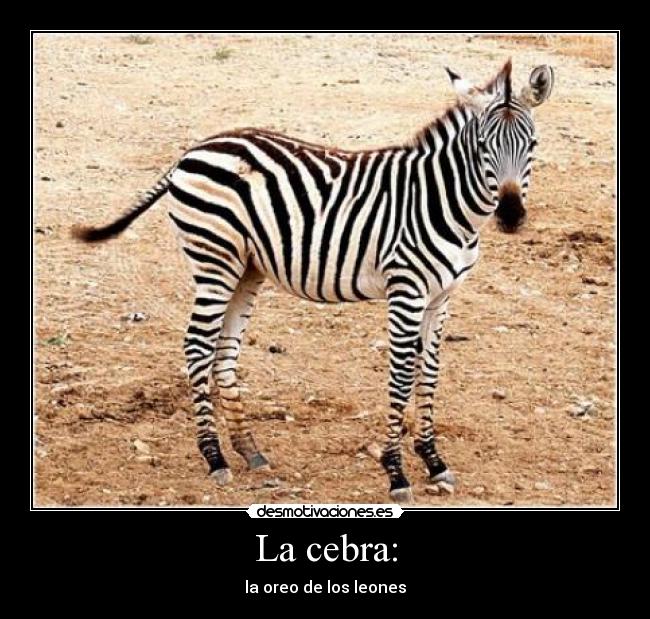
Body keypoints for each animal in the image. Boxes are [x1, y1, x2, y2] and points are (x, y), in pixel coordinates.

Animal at [72, 60, 553, 502]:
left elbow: (430, 372)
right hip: (215, 260)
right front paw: (396, 473)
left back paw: (248, 450)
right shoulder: (406, 291)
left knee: (224, 351)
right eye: (483, 147)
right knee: (196, 347)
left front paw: (434, 461)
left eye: (531, 144)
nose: (511, 216)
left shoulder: (442, 296)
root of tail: (193, 152)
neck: (444, 204)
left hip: (246, 269)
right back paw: (214, 457)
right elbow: (401, 375)